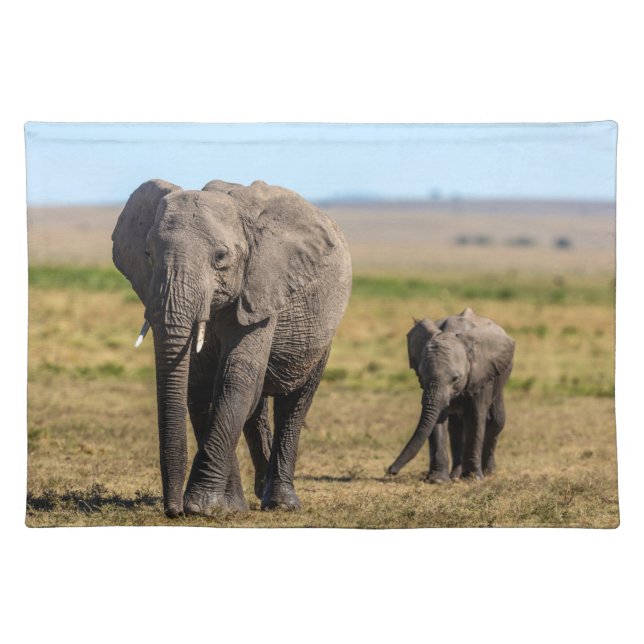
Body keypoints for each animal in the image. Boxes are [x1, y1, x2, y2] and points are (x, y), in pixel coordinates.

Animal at [112, 179, 352, 517]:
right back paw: (259, 492)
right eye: (148, 253)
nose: (173, 511)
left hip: (322, 331)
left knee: (295, 402)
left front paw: (201, 506)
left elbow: (234, 380)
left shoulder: (261, 289)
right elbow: (200, 388)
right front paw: (229, 508)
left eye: (220, 256)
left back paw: (281, 503)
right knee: (256, 406)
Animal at [387, 308, 514, 482]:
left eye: (455, 378)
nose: (390, 471)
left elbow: (476, 416)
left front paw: (473, 479)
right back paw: (455, 475)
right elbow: (437, 419)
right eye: (421, 375)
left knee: (496, 421)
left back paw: (489, 473)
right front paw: (438, 480)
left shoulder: (481, 374)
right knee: (455, 429)